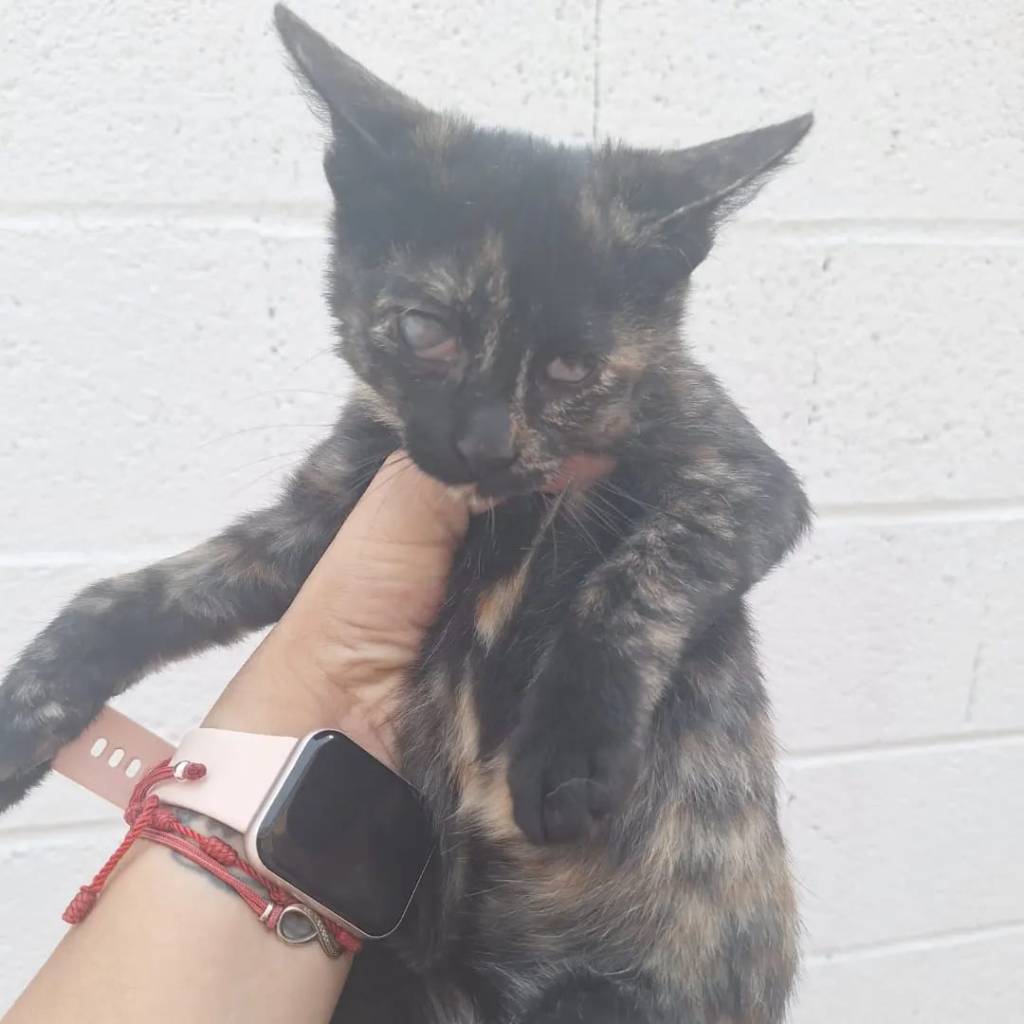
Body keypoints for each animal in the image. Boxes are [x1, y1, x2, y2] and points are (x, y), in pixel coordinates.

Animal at [0, 6, 813, 1022]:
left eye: (571, 369)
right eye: (426, 330)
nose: (483, 444)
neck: (502, 511)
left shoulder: (739, 473)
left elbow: (639, 579)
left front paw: (570, 745)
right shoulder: (325, 519)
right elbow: (129, 595)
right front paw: (22, 713)